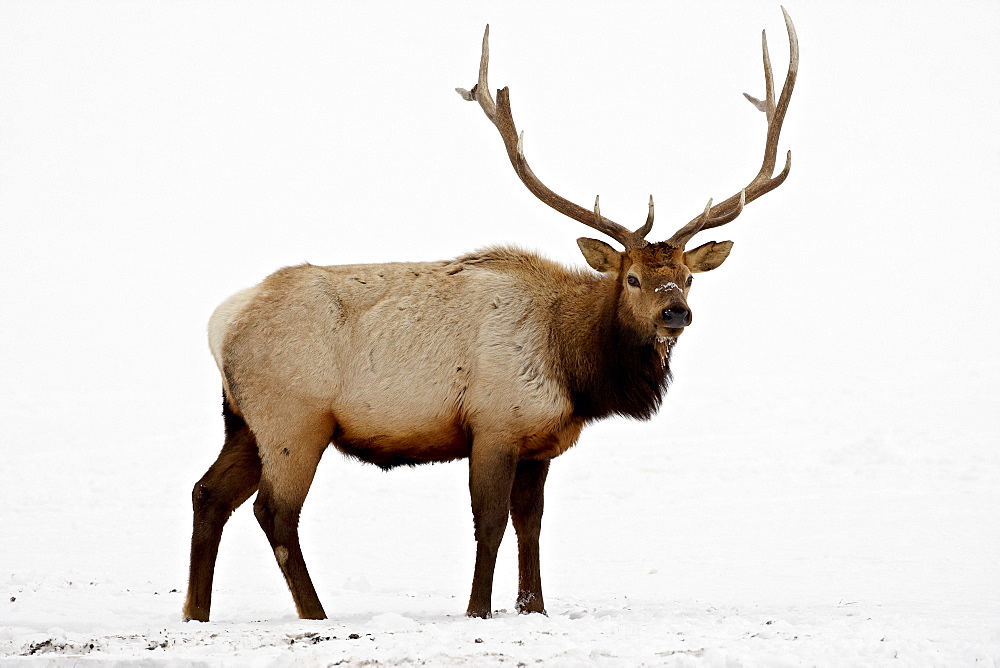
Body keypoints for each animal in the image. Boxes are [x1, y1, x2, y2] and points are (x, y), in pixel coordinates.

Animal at [184, 9, 800, 620]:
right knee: (274, 511)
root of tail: (223, 322)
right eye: (631, 278)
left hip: (243, 420)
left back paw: (197, 611)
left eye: (690, 277)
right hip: (294, 418)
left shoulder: (540, 441)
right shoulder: (494, 424)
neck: (577, 369)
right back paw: (314, 613)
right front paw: (478, 609)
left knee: (208, 493)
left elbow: (531, 524)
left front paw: (534, 606)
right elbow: (491, 524)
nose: (676, 313)